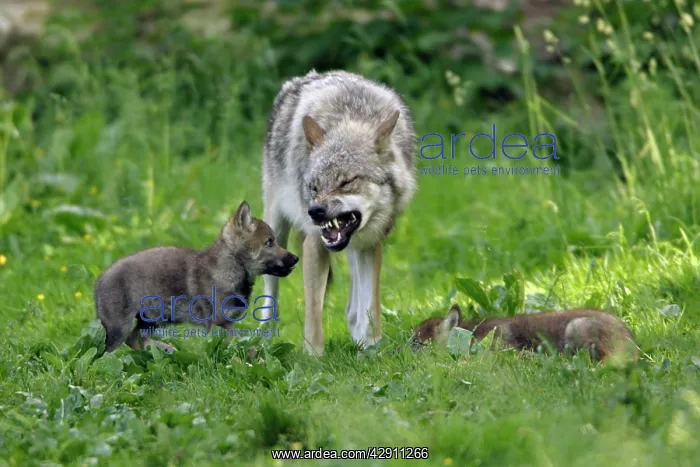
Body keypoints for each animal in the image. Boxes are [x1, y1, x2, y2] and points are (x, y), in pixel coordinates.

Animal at [95, 201, 298, 353]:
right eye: (269, 242)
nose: (296, 258)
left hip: (152, 320)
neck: (231, 268)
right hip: (120, 328)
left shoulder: (227, 324)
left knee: (136, 340)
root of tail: (99, 279)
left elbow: (236, 345)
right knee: (110, 352)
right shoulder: (214, 324)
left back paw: (165, 350)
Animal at [261, 70, 416, 356]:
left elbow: (370, 307)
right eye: (314, 186)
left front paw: (372, 349)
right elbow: (313, 314)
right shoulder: (314, 244)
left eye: (346, 182)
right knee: (270, 297)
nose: (314, 211)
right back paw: (261, 342)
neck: (349, 118)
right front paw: (314, 357)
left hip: (355, 250)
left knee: (353, 308)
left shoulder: (371, 244)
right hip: (275, 232)